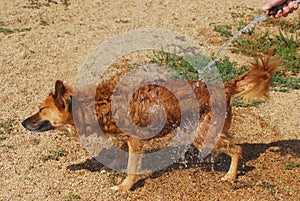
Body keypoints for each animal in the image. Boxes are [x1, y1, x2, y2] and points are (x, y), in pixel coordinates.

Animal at [22, 56, 282, 190]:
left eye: (41, 109)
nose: (23, 123)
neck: (96, 103)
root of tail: (225, 85)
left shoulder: (135, 141)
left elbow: (131, 167)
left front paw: (125, 186)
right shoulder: (122, 139)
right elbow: (118, 155)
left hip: (200, 133)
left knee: (237, 149)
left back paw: (229, 176)